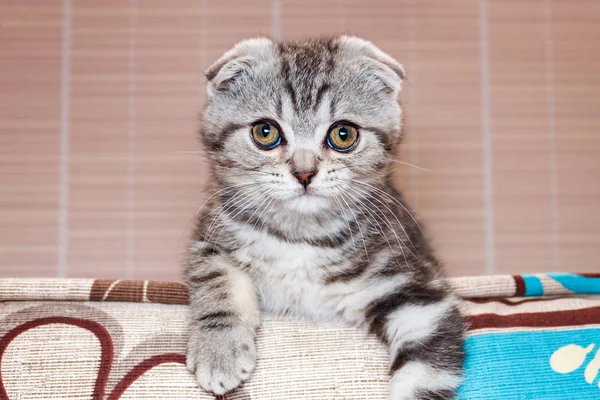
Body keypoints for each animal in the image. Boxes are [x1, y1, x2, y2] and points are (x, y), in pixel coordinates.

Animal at [185, 36, 466, 398]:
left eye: (343, 134)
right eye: (265, 132)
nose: (304, 173)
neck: (301, 237)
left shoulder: (414, 291)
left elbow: (421, 378)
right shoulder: (211, 239)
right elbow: (217, 280)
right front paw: (220, 351)